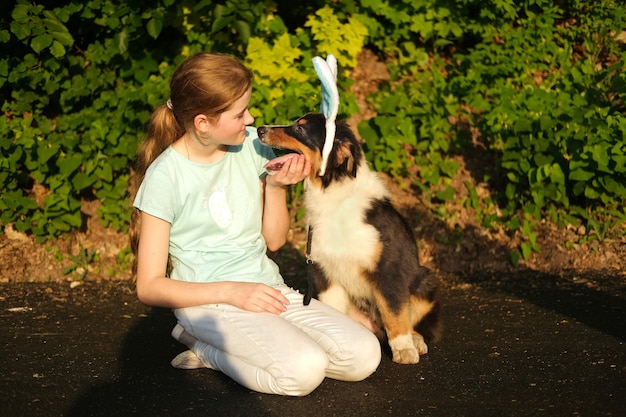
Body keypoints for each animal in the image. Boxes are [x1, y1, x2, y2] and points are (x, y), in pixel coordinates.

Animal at [255, 112, 438, 362]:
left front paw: (403, 350)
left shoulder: (388, 269)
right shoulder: (325, 270)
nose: (259, 130)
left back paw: (415, 341)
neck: (334, 200)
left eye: (301, 129)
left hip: (424, 280)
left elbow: (394, 312)